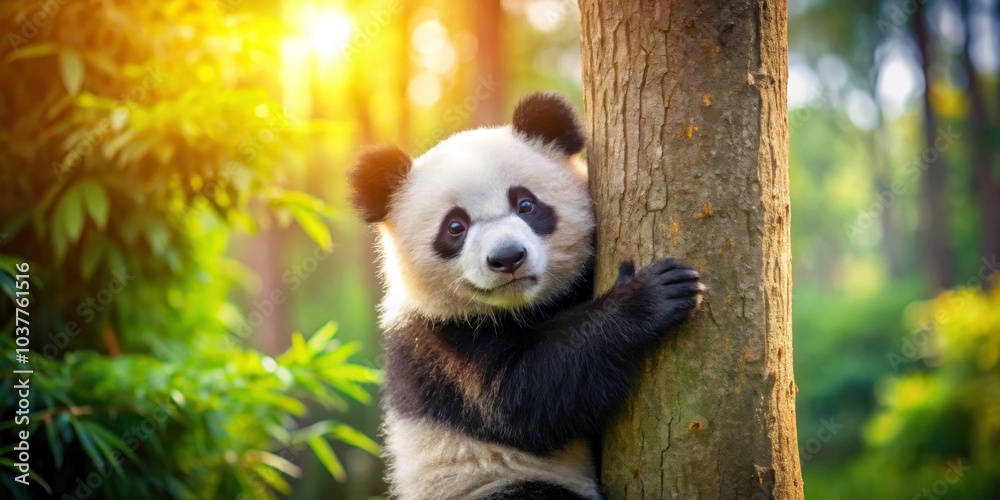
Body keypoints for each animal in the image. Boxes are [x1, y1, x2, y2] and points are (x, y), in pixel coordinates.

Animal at [348, 93, 703, 500]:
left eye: (526, 205)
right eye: (455, 227)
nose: (507, 258)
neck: (524, 307)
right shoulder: (442, 345)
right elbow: (522, 399)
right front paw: (651, 296)